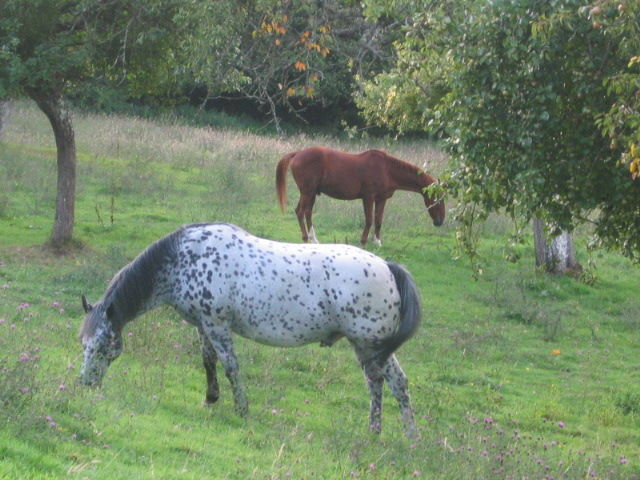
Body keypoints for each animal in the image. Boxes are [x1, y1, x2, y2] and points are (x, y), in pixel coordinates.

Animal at [77, 223, 422, 436]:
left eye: (105, 346)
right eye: (83, 344)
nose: (85, 384)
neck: (184, 259)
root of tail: (388, 267)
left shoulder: (217, 324)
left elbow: (231, 366)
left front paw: (241, 409)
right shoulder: (203, 324)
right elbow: (209, 362)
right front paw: (210, 399)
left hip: (369, 344)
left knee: (387, 383)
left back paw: (390, 432)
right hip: (367, 347)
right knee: (388, 383)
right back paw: (395, 434)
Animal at [276, 145, 444, 244]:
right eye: (437, 199)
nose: (440, 222)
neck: (386, 169)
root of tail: (298, 153)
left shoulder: (381, 199)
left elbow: (378, 220)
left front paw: (377, 242)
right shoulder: (368, 197)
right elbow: (369, 220)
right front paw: (363, 241)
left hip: (310, 193)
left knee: (307, 212)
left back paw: (314, 240)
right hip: (307, 192)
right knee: (300, 212)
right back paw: (305, 239)